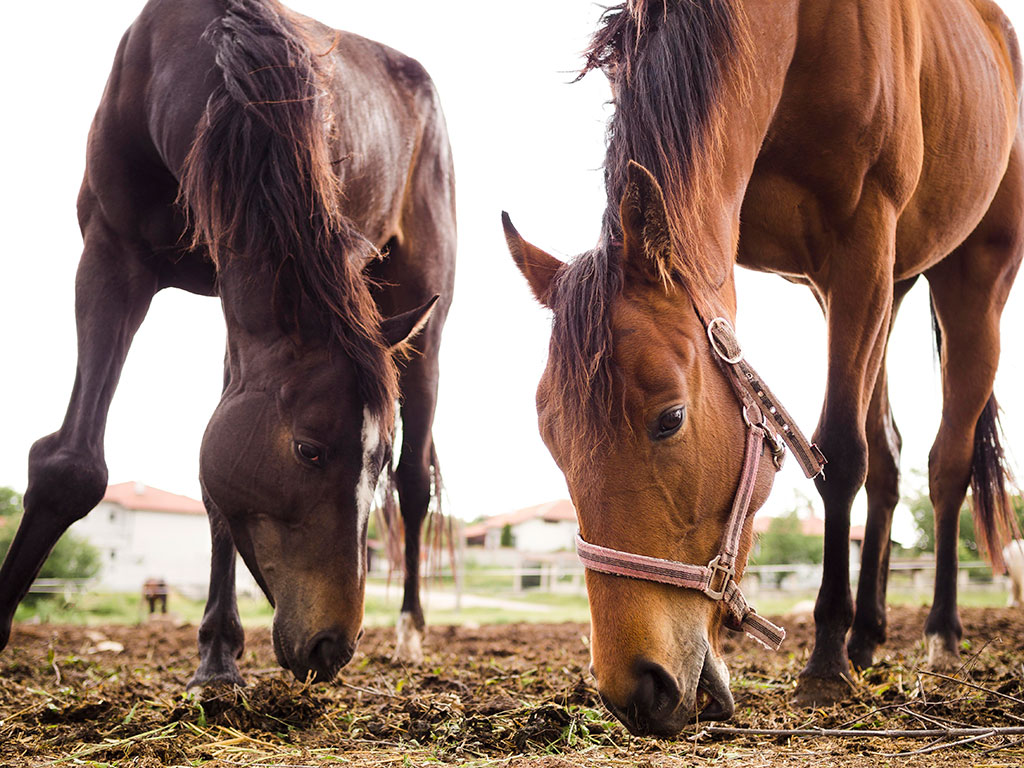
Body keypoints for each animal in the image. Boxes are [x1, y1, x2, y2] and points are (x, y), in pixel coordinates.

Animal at [0, 0, 456, 684]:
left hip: (423, 322)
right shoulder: (112, 257)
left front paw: (219, 655)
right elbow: (73, 467)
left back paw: (409, 633)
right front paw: (217, 654)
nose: (333, 647)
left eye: (371, 462)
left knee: (416, 485)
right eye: (309, 451)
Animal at [505, 0, 1024, 741]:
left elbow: (837, 455)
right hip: (880, 288)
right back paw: (869, 635)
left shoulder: (862, 241)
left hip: (971, 282)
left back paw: (938, 633)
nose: (635, 690)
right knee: (891, 459)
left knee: (944, 465)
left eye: (670, 419)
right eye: (551, 441)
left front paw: (825, 663)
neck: (799, 30)